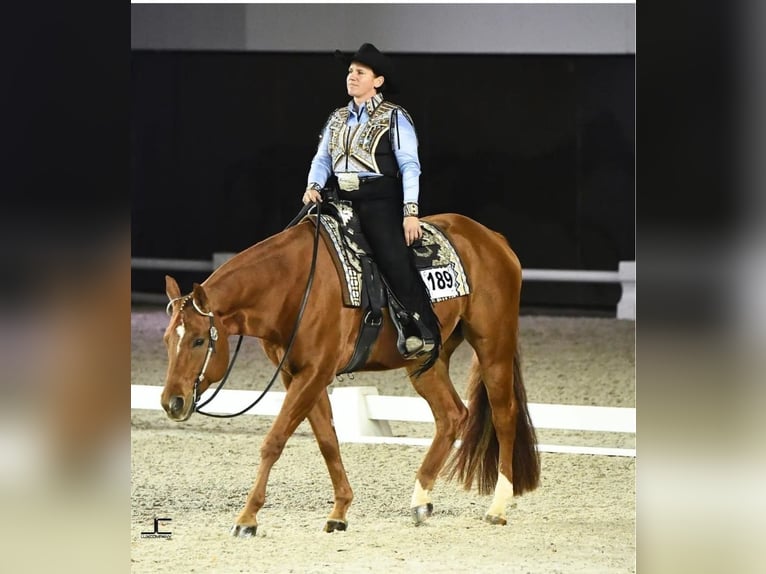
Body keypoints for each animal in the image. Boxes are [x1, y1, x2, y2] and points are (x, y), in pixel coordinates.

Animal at [160, 213, 540, 540]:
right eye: (167, 339)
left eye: (198, 340)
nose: (172, 402)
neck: (291, 284)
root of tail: (491, 238)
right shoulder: (298, 376)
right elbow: (328, 440)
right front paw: (339, 512)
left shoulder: (314, 373)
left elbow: (274, 441)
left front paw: (247, 518)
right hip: (426, 361)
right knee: (452, 415)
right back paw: (420, 501)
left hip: (493, 347)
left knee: (504, 417)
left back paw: (498, 507)